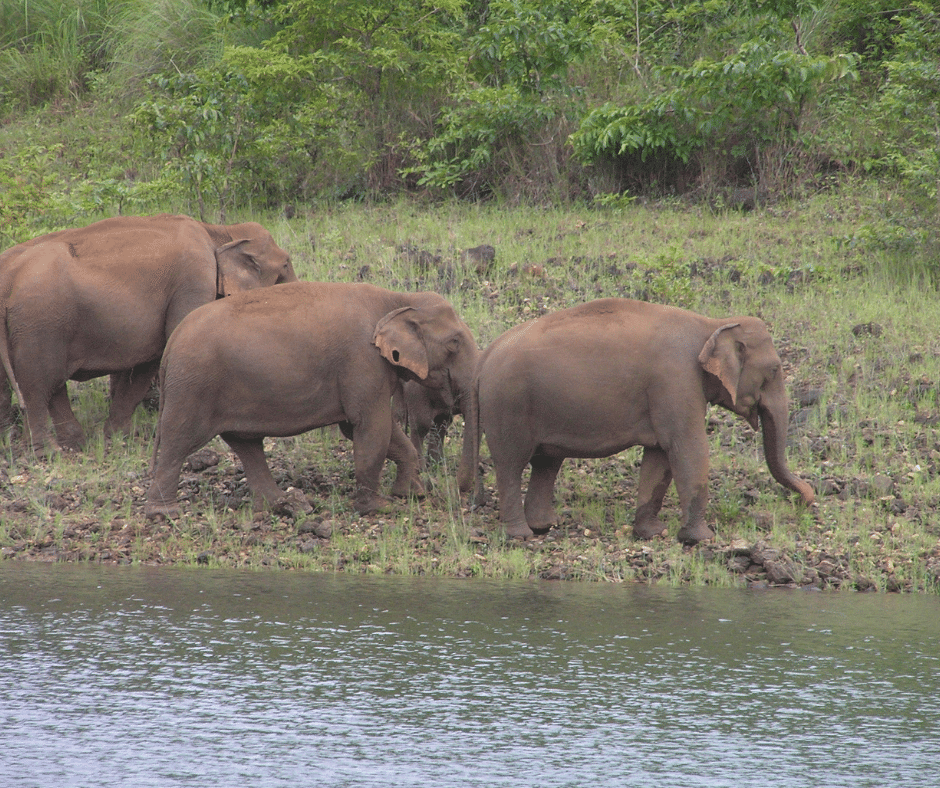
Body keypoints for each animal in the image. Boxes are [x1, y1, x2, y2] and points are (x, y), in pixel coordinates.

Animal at [0, 212, 296, 452]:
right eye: (284, 267)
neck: (218, 230)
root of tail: (8, 281)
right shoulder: (193, 279)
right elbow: (171, 344)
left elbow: (147, 360)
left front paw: (118, 437)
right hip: (39, 321)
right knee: (37, 383)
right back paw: (50, 452)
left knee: (44, 383)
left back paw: (68, 444)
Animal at [145, 280, 478, 520]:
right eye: (454, 343)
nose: (454, 489)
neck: (397, 300)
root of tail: (172, 343)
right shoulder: (362, 362)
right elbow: (371, 426)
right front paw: (379, 507)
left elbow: (373, 430)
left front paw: (411, 494)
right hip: (193, 387)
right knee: (178, 441)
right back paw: (165, 512)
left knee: (246, 444)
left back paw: (281, 504)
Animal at [460, 298, 816, 544]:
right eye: (774, 370)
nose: (807, 499)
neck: (712, 323)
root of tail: (484, 357)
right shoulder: (675, 381)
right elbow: (687, 448)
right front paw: (701, 539)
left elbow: (659, 457)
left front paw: (652, 533)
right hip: (508, 405)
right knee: (511, 464)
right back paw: (521, 535)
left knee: (547, 462)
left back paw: (544, 526)